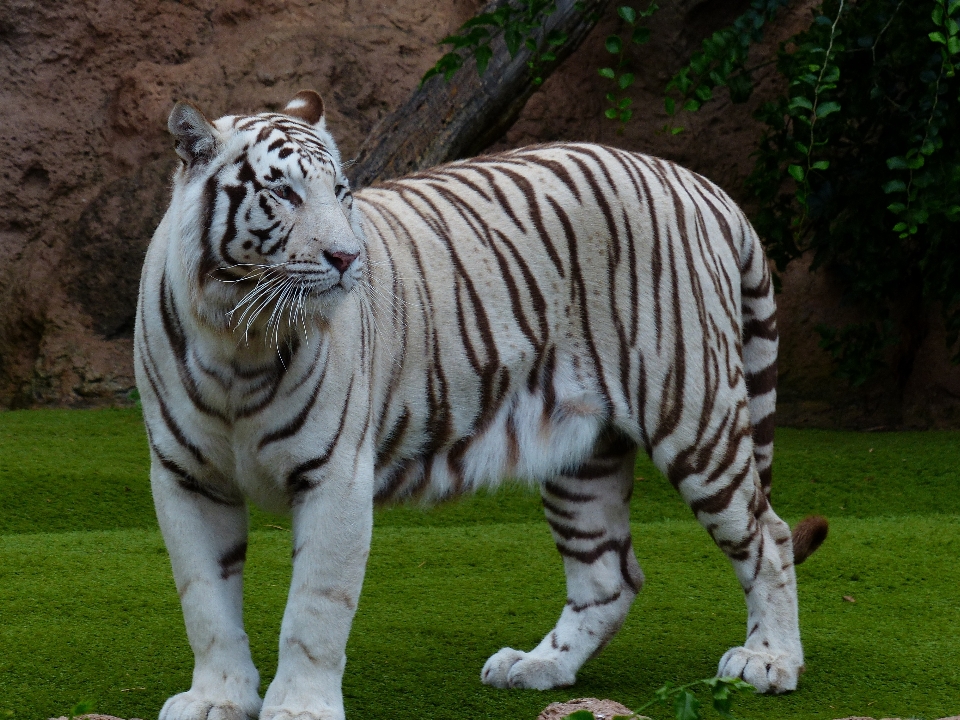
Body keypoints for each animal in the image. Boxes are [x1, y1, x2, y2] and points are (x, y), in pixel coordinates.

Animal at [133, 90, 824, 720]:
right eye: (283, 194)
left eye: (341, 192)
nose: (348, 258)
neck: (238, 338)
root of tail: (700, 183)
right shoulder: (185, 476)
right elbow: (204, 601)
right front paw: (217, 699)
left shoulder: (334, 476)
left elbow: (314, 607)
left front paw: (299, 708)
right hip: (582, 453)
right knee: (610, 575)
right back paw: (539, 665)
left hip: (693, 411)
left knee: (768, 534)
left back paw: (769, 661)